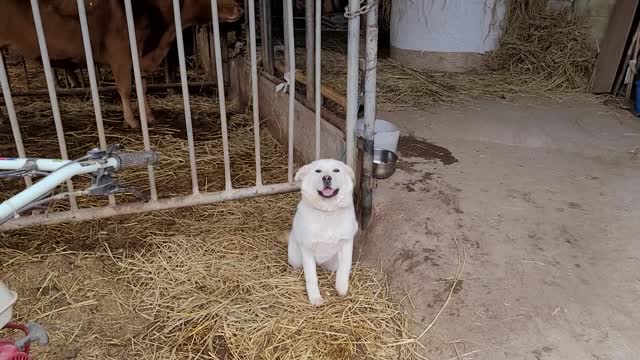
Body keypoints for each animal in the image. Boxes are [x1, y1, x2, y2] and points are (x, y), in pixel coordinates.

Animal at [0, 0, 242, 129]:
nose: (239, 8)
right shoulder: (121, 54)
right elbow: (125, 89)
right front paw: (132, 120)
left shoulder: (140, 57)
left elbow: (142, 87)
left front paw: (148, 114)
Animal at [288, 159, 358, 306]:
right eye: (318, 171)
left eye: (336, 170)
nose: (326, 178)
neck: (327, 212)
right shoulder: (307, 250)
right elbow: (311, 277)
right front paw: (315, 298)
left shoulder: (347, 243)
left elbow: (345, 268)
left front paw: (342, 288)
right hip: (296, 257)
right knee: (297, 266)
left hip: (333, 264)